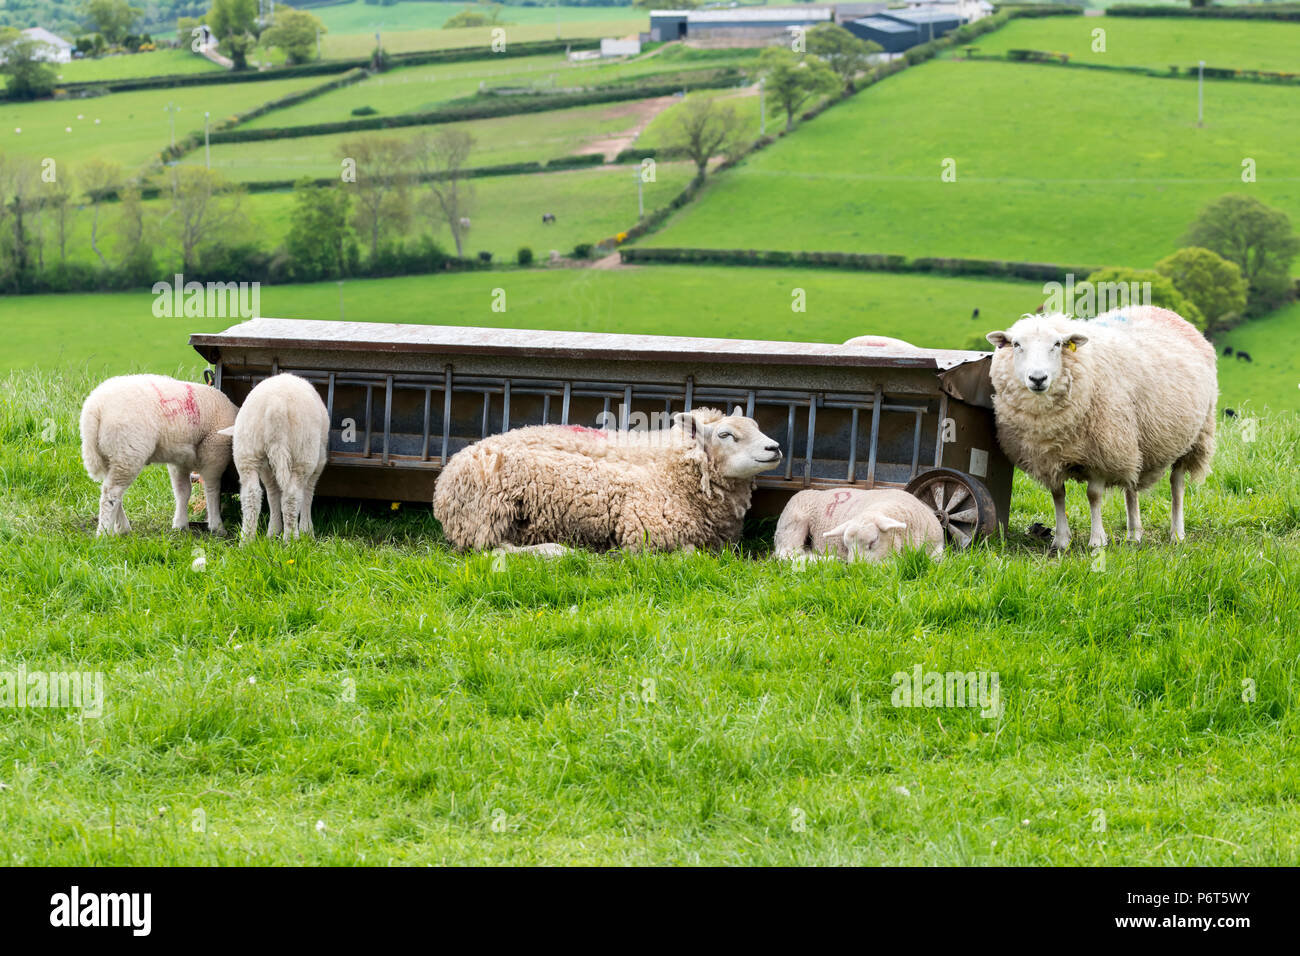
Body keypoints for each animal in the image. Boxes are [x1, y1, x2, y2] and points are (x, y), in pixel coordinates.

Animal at [79, 374, 237, 536]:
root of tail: (94, 408)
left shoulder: (180, 461)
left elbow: (183, 491)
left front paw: (180, 525)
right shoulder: (214, 452)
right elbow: (212, 490)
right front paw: (217, 526)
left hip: (110, 455)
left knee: (114, 492)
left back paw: (122, 527)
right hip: (127, 453)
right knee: (111, 493)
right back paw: (104, 533)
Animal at [217, 373, 329, 543]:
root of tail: (275, 406)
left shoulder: (266, 467)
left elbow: (272, 493)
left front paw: (274, 531)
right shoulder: (319, 459)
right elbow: (309, 491)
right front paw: (307, 530)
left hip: (247, 449)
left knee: (251, 494)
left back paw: (247, 540)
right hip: (303, 450)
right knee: (291, 495)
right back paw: (291, 539)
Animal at [433, 406, 782, 553]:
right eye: (725, 435)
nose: (774, 448)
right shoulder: (645, 533)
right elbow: (689, 554)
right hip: (489, 516)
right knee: (490, 549)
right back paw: (558, 551)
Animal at [775, 488, 944, 562]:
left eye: (873, 541)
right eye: (847, 546)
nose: (855, 569)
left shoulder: (938, 547)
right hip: (793, 525)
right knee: (786, 554)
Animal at [985, 305, 1217, 550]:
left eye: (1057, 344)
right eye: (1016, 344)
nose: (1038, 378)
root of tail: (1163, 310)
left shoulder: (1100, 453)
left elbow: (1093, 495)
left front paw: (1097, 540)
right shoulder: (1050, 458)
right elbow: (1058, 494)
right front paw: (1061, 540)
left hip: (1194, 436)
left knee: (1177, 484)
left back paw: (1177, 533)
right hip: (1132, 439)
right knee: (1131, 485)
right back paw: (1134, 534)